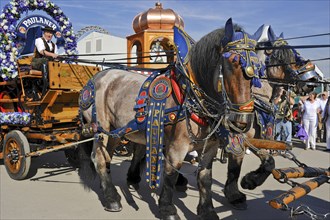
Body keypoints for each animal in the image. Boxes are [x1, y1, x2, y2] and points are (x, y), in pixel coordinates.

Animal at [76, 18, 262, 219]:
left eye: (259, 68)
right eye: (232, 62)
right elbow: (171, 174)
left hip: (115, 131)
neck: (190, 96)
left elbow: (205, 178)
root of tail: (96, 77)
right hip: (100, 128)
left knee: (106, 156)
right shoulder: (176, 146)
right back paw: (111, 198)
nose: (242, 120)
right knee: (99, 158)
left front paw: (207, 210)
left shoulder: (210, 147)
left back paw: (110, 188)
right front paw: (167, 208)